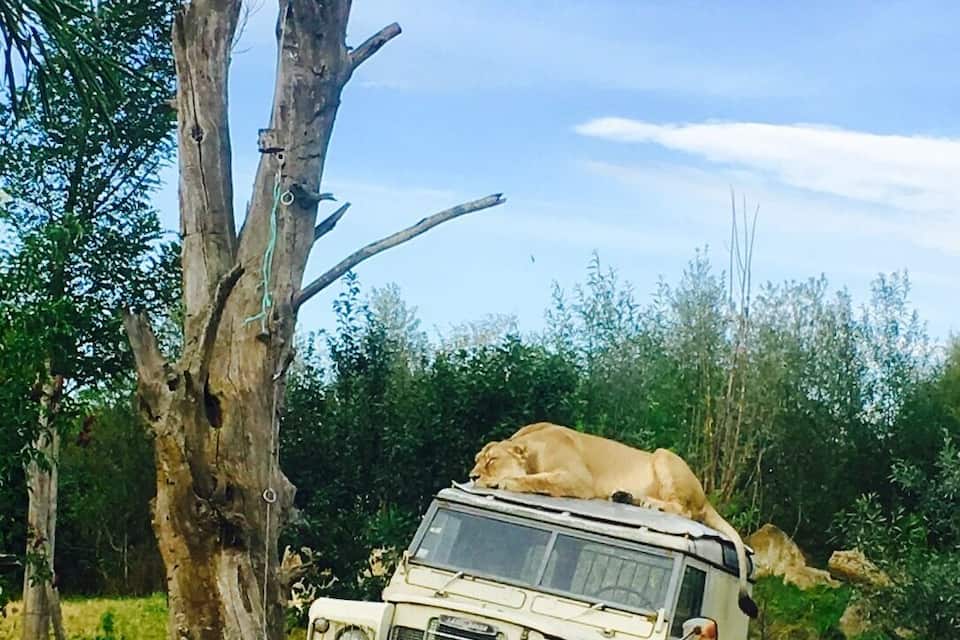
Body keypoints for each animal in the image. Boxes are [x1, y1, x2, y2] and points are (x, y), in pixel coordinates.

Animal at [469, 422, 758, 618]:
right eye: (476, 461)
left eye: (492, 460)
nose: (472, 476)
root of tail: (705, 497)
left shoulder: (578, 479)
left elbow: (540, 479)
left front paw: (510, 481)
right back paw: (624, 496)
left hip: (663, 456)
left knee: (683, 510)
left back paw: (648, 502)